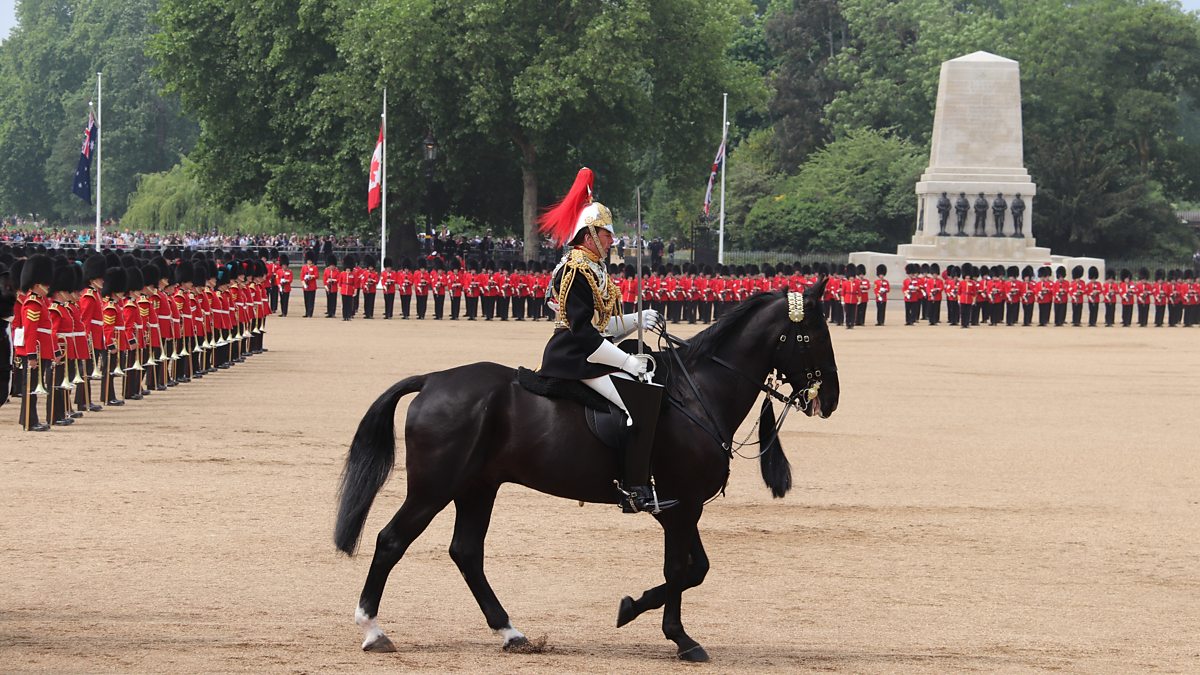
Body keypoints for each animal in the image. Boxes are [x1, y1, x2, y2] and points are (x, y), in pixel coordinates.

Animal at [333, 281, 840, 658]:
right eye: (815, 335)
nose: (832, 399)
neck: (699, 392)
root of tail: (433, 380)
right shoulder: (679, 507)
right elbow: (682, 569)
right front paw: (661, 626)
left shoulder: (682, 505)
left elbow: (693, 569)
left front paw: (650, 617)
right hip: (434, 488)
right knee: (391, 541)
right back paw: (373, 630)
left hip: (477, 487)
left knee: (466, 552)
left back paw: (511, 633)